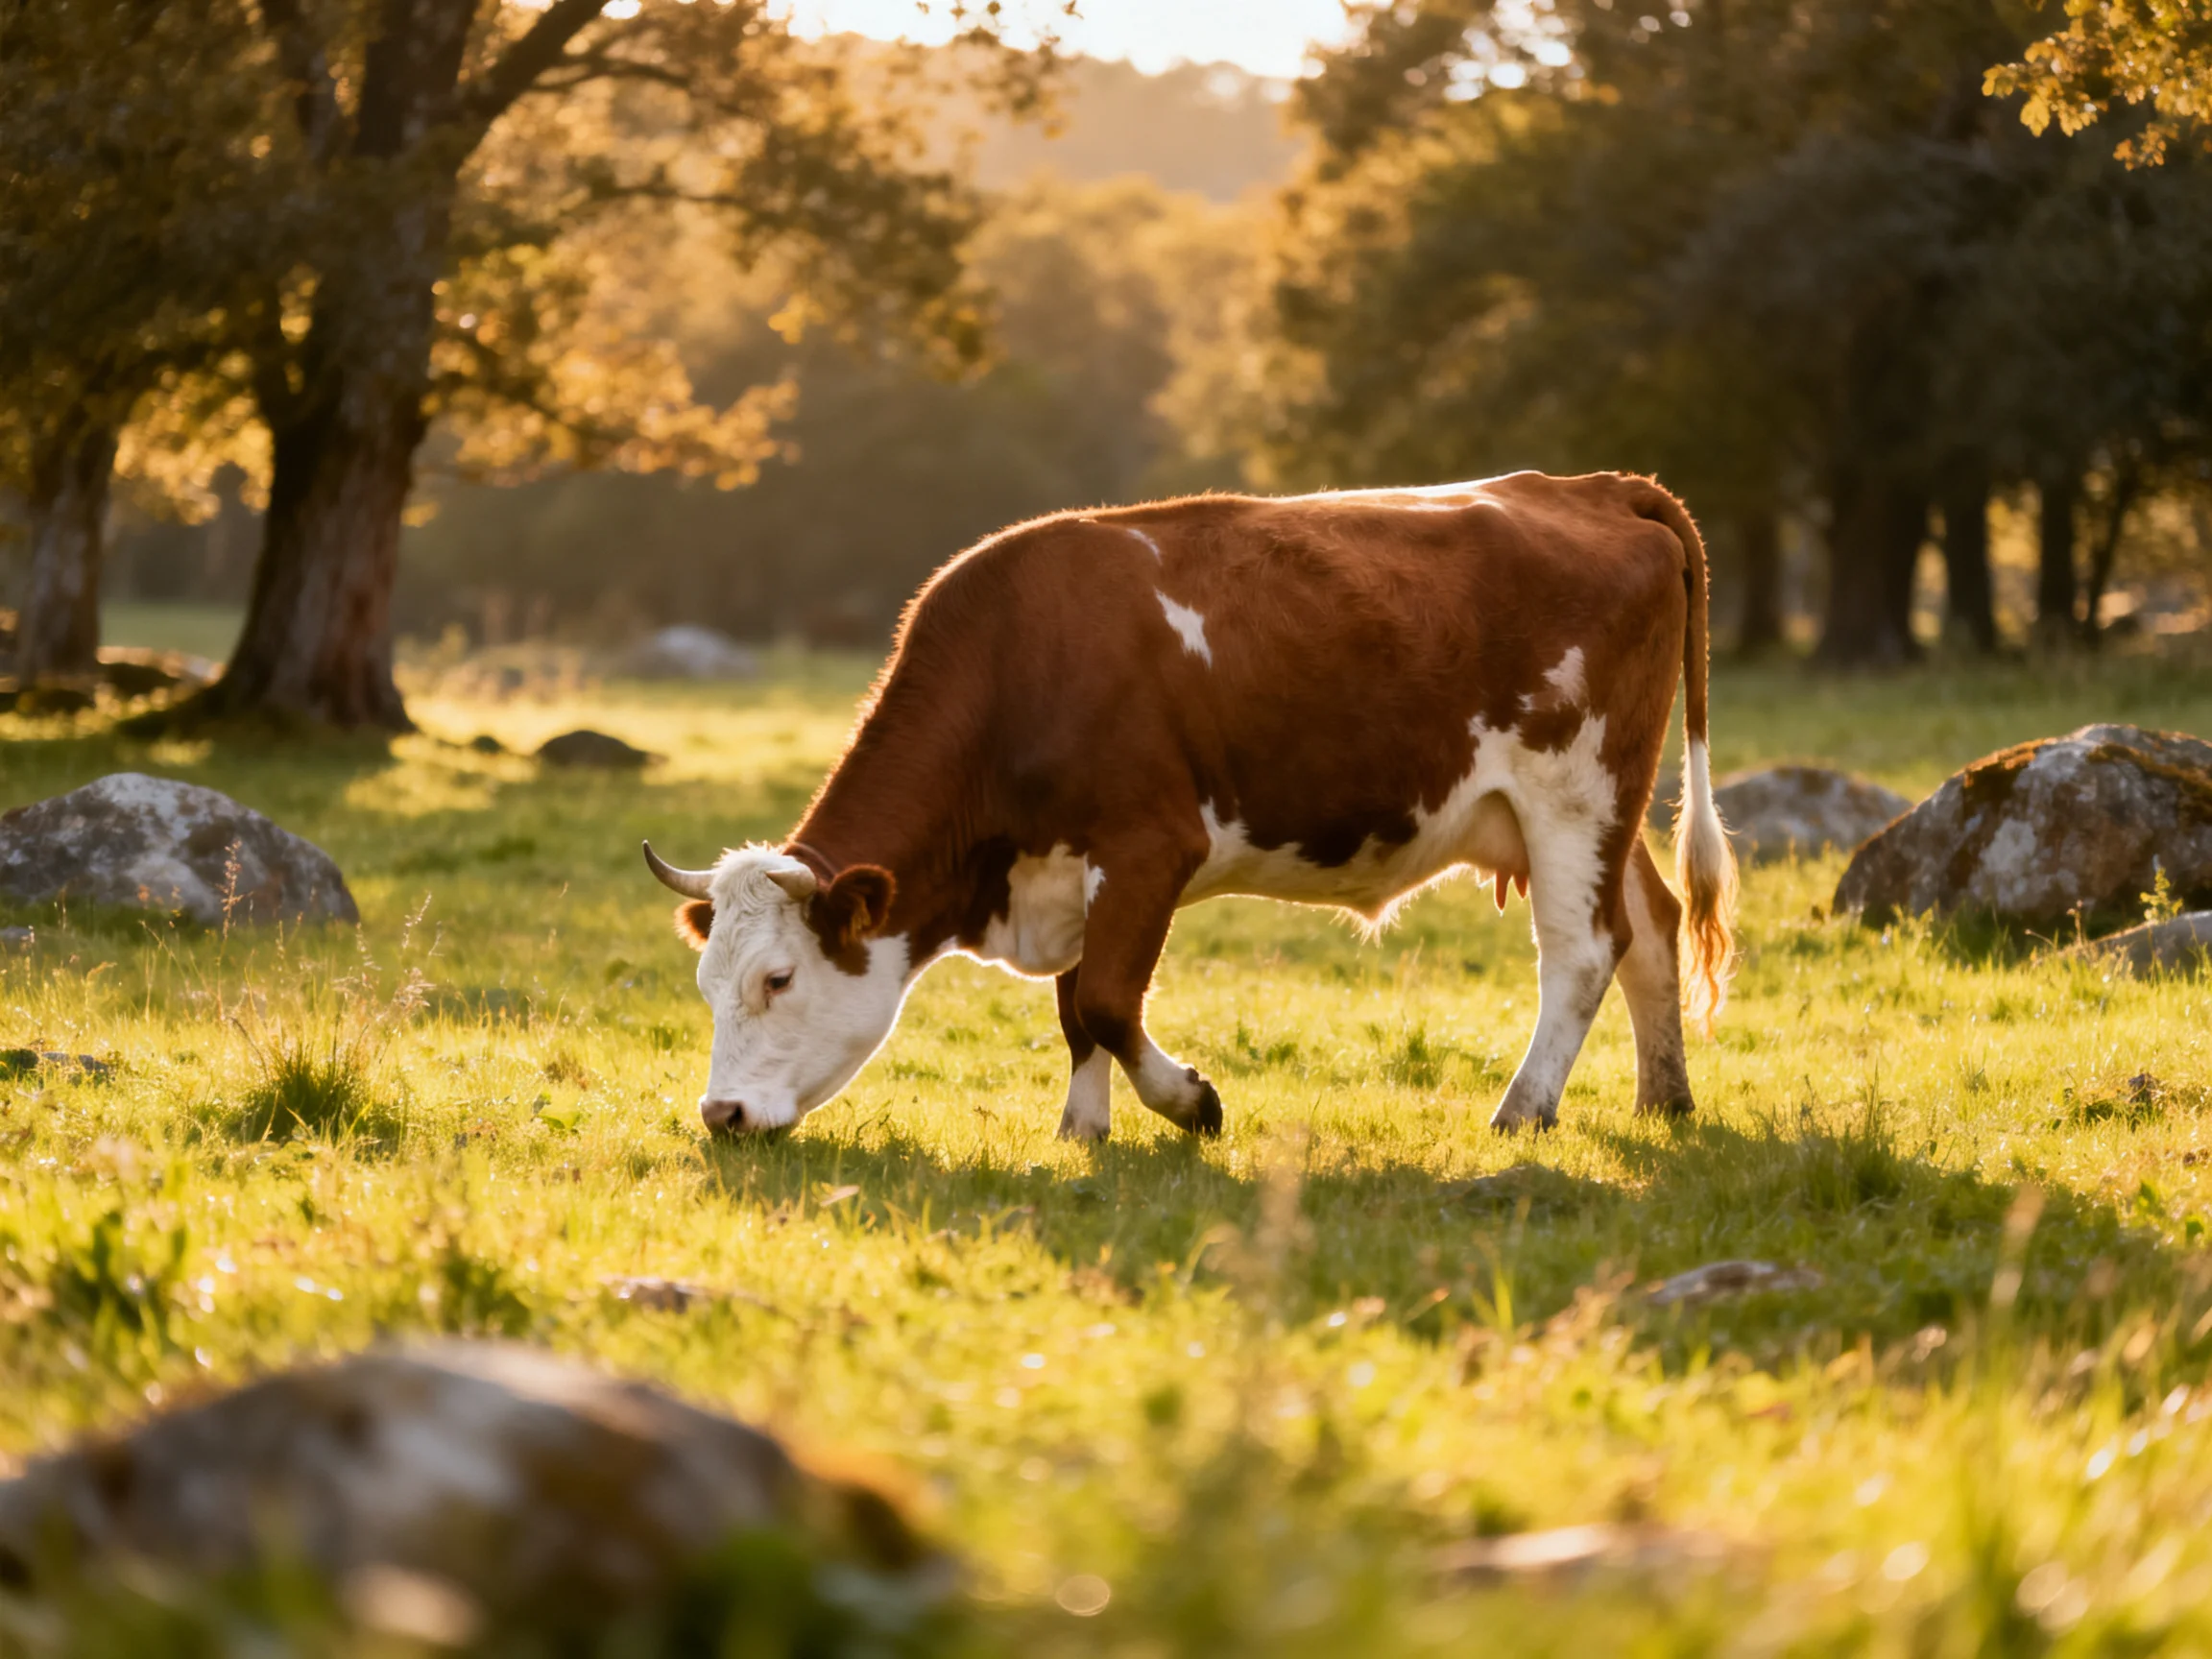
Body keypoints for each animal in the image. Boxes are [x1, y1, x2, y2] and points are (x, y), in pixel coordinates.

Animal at [643, 471, 1737, 1140]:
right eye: (705, 983)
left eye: (778, 979)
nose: (720, 1116)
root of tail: (1592, 487)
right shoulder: (1071, 870)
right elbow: (1074, 1010)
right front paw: (1082, 1127)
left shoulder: (1146, 847)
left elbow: (1106, 998)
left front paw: (1190, 1103)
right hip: (1605, 807)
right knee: (1650, 929)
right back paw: (1665, 1098)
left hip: (1575, 792)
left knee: (1583, 949)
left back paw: (1524, 1108)